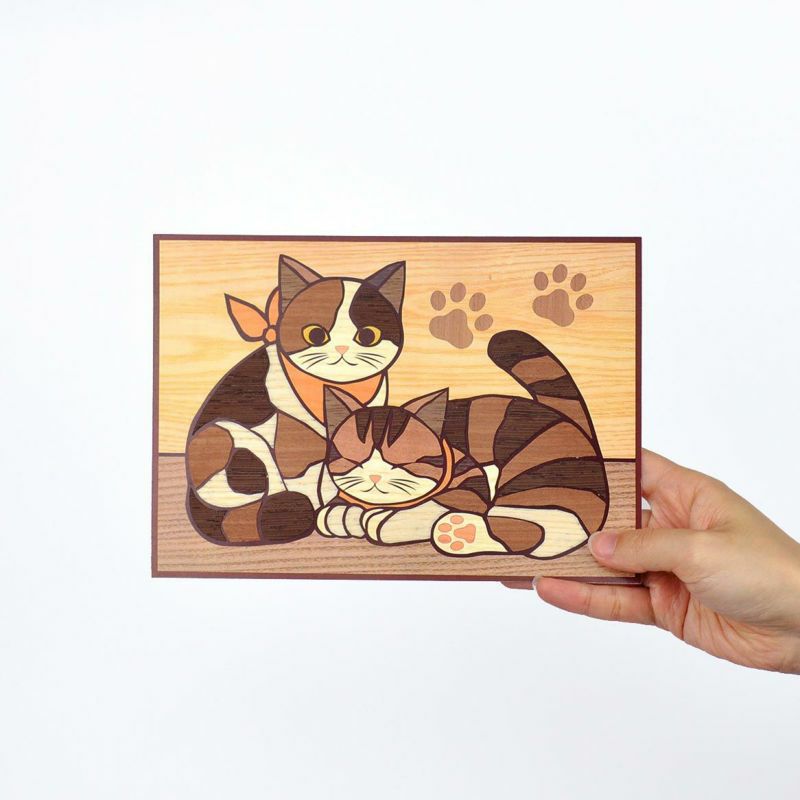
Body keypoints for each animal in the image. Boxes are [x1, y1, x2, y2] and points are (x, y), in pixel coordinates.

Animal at [185, 254, 406, 545]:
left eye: (368, 335)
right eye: (315, 334)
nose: (342, 348)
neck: (332, 386)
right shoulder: (294, 437)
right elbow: (306, 474)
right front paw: (321, 511)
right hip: (228, 437)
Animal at [317, 330, 609, 559]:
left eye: (402, 459)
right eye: (354, 457)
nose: (375, 476)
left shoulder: (471, 483)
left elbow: (426, 509)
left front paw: (382, 519)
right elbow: (333, 510)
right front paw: (344, 512)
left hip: (536, 476)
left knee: (540, 529)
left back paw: (458, 532)